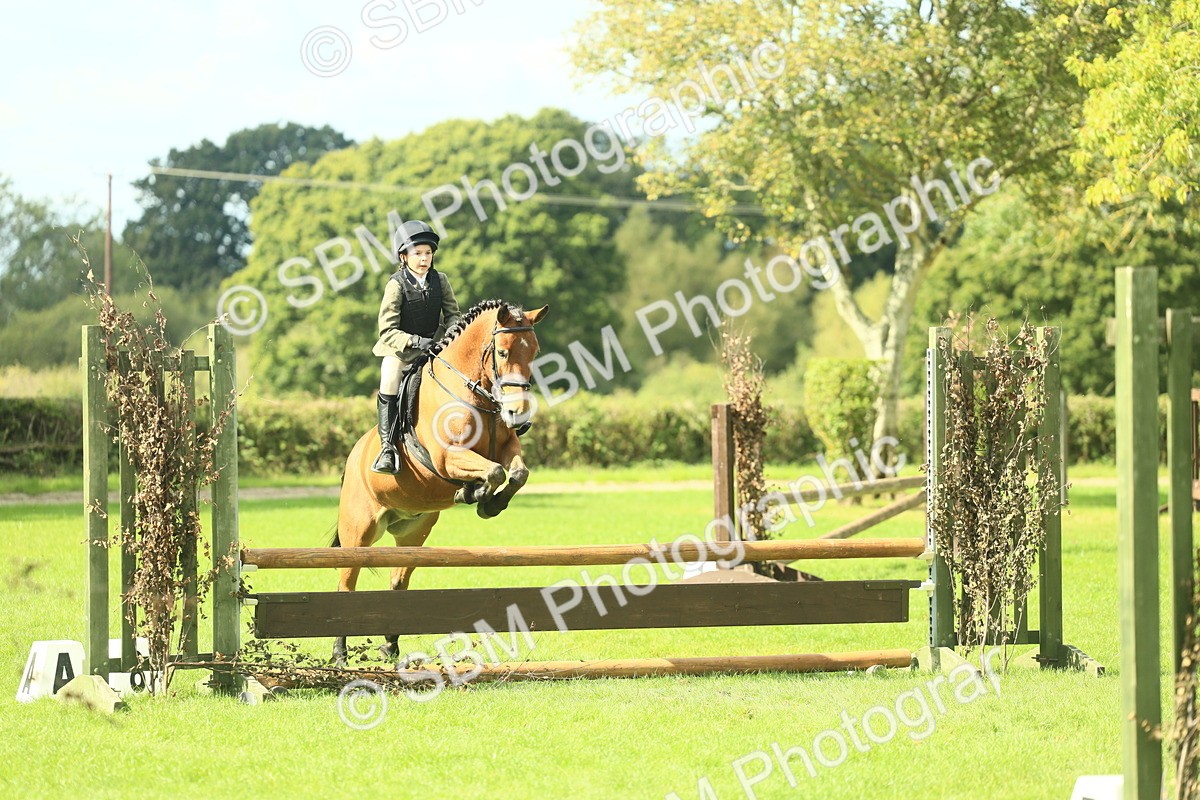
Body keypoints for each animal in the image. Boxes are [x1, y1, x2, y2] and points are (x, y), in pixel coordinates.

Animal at [332, 299, 548, 663]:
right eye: (503, 352)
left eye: (534, 351)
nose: (518, 414)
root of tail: (353, 457)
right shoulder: (448, 457)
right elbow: (493, 471)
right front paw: (475, 495)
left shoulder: (507, 448)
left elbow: (516, 472)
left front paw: (489, 502)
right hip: (358, 531)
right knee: (346, 583)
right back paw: (340, 655)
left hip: (413, 534)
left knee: (398, 580)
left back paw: (390, 646)